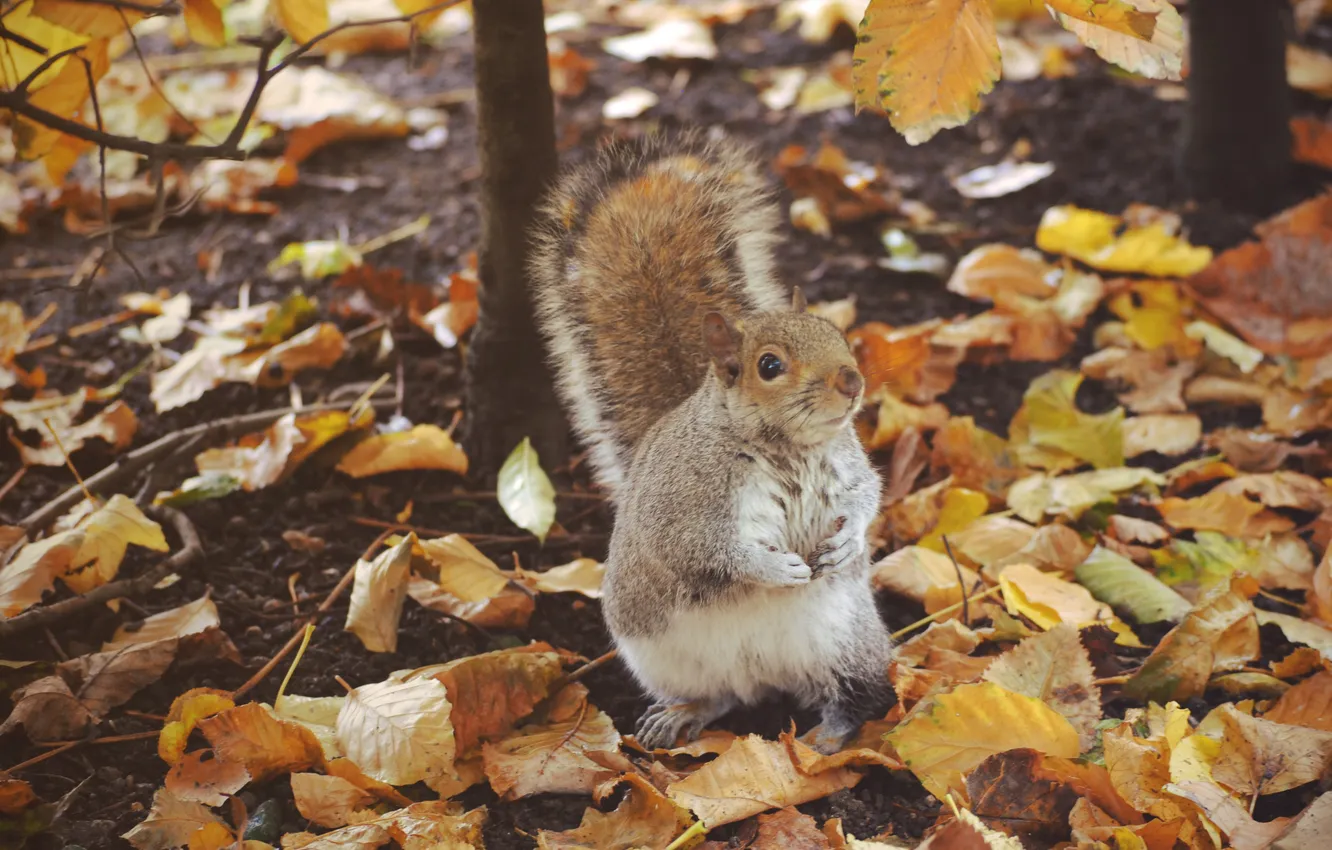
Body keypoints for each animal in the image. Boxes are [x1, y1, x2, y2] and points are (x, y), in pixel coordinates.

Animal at [530, 131, 895, 751]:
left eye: (837, 333)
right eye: (769, 366)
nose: (851, 381)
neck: (787, 448)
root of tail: (764, 675)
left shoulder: (848, 464)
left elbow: (868, 495)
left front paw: (849, 542)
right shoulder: (684, 500)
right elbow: (703, 550)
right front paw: (774, 569)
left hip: (846, 638)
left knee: (855, 693)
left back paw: (828, 734)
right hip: (662, 657)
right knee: (720, 696)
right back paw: (683, 715)